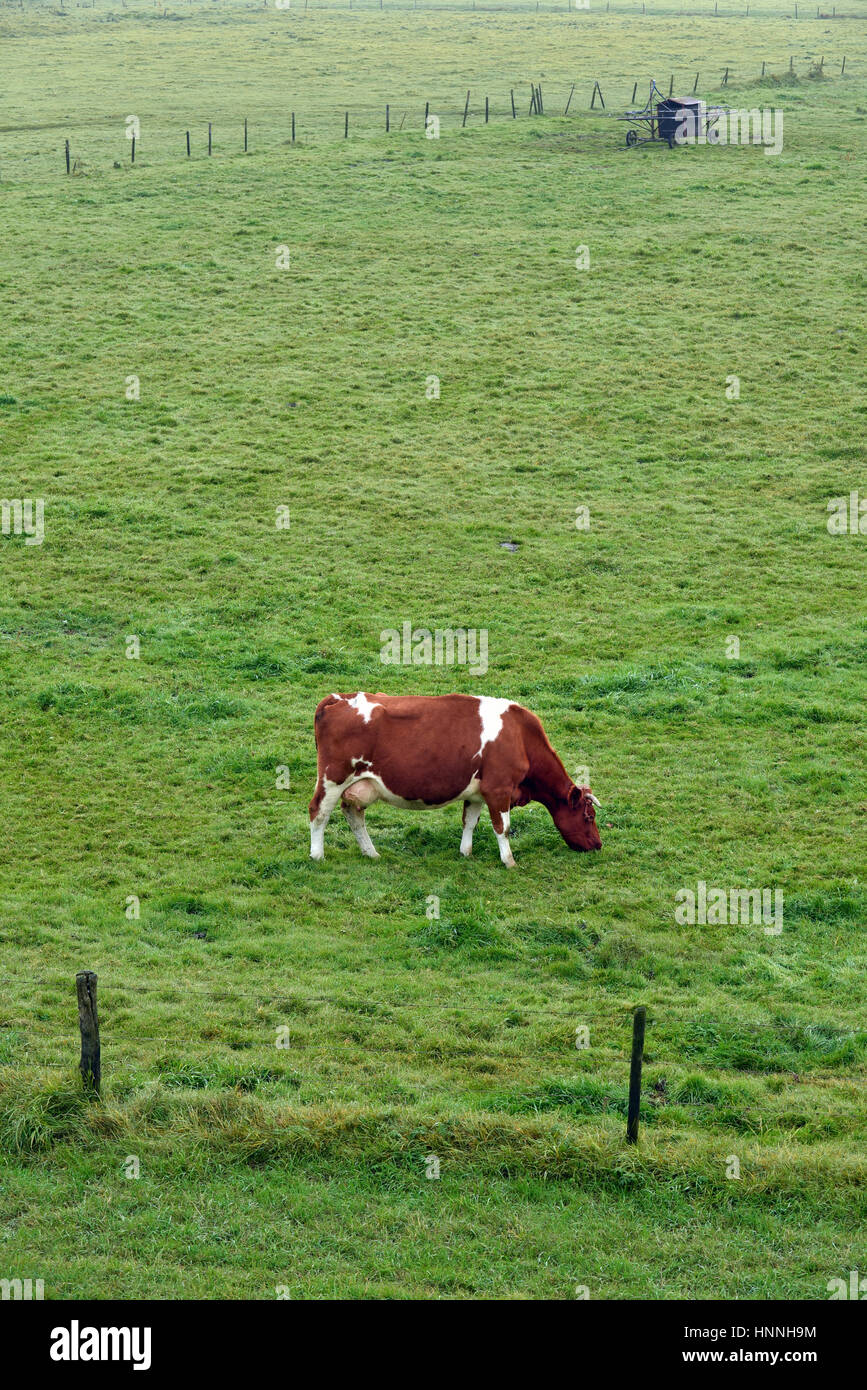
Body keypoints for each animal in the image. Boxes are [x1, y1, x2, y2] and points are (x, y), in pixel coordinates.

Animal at [308, 692, 601, 867]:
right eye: (589, 817)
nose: (598, 845)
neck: (520, 736)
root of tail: (339, 698)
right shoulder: (499, 789)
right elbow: (503, 828)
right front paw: (509, 861)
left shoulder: (477, 792)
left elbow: (470, 822)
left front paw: (465, 852)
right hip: (332, 778)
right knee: (318, 812)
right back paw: (317, 855)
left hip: (359, 785)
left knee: (353, 815)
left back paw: (371, 852)